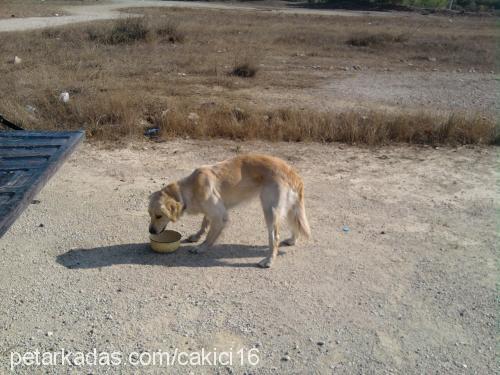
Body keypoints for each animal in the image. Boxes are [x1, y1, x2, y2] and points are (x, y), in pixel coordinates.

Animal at [147, 153, 308, 268]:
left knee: (275, 237)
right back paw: (292, 240)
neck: (190, 189)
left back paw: (268, 260)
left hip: (270, 210)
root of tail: (291, 171)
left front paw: (201, 247)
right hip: (289, 208)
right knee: (294, 225)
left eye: (159, 216)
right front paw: (197, 236)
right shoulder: (210, 211)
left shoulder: (220, 216)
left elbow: (210, 236)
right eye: (150, 214)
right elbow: (204, 223)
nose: (151, 231)